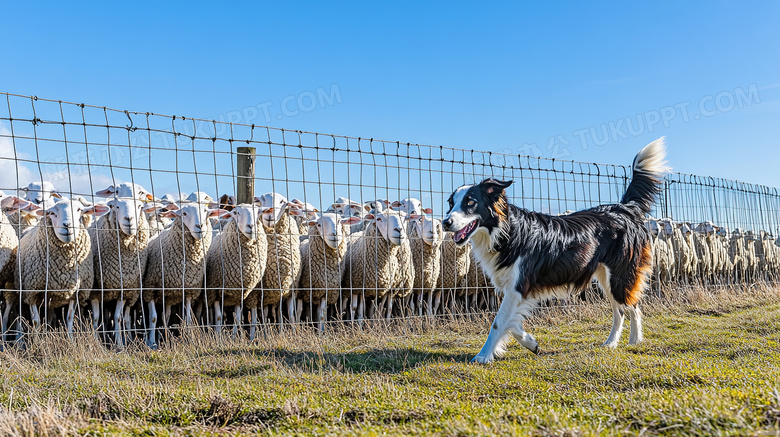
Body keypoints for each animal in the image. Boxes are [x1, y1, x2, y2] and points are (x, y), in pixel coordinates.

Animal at [442, 139, 668, 362]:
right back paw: (615, 343)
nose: (445, 222)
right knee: (622, 309)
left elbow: (498, 323)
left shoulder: (518, 285)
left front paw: (483, 356)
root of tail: (624, 209)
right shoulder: (517, 288)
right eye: (451, 203)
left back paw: (631, 340)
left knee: (631, 305)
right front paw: (530, 342)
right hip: (606, 277)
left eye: (471, 202)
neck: (506, 232)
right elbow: (511, 322)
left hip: (620, 276)